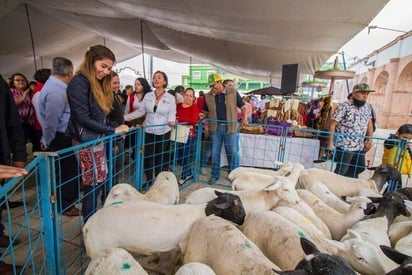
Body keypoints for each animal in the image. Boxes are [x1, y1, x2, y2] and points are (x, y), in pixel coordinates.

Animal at [83, 192, 245, 260]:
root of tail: (87, 226)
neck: (201, 211)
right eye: (235, 208)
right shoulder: (184, 244)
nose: (244, 219)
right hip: (98, 250)